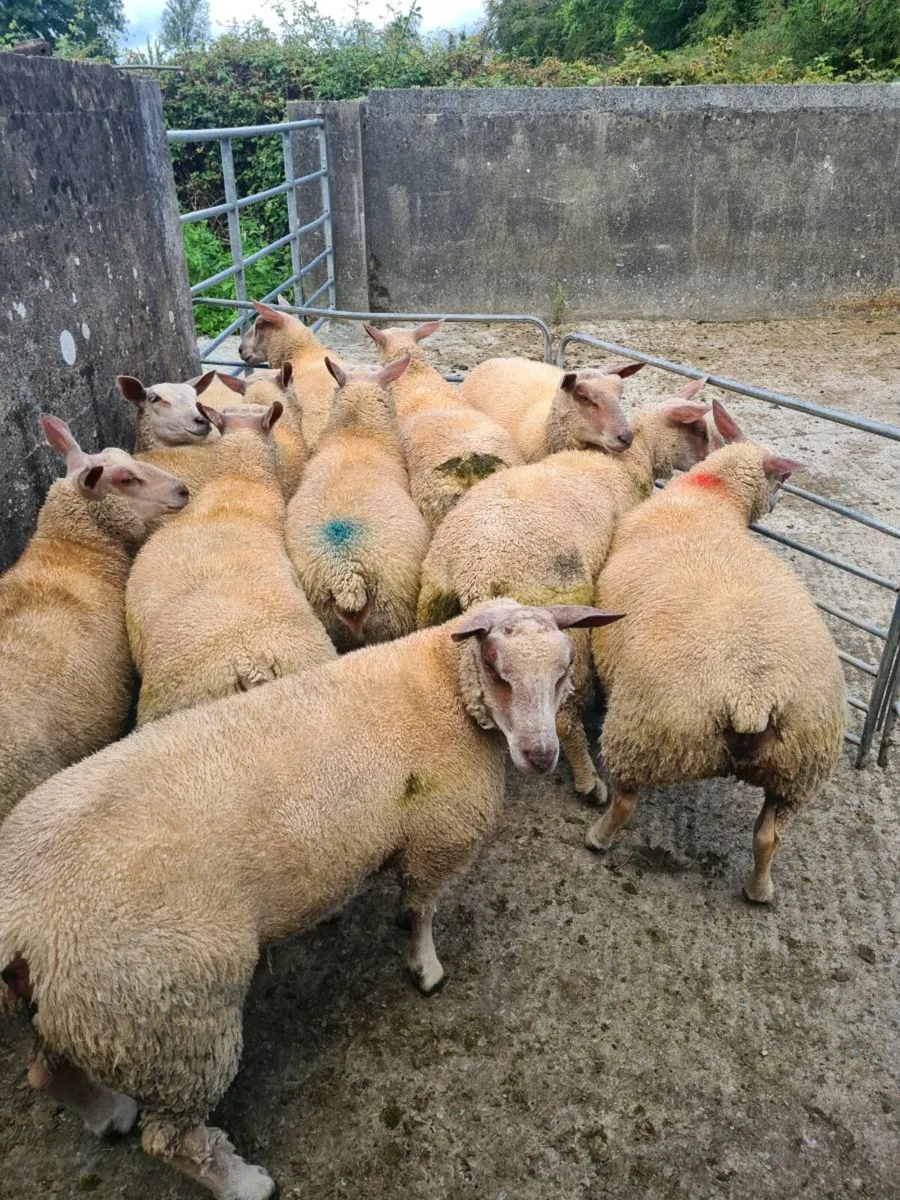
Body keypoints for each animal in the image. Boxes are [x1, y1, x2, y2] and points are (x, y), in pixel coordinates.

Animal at [0, 599, 621, 1200]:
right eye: (498, 671)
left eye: (564, 672)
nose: (541, 756)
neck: (444, 687)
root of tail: (21, 920)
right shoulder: (439, 835)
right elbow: (423, 909)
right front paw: (425, 968)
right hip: (169, 1016)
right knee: (173, 1139)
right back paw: (244, 1183)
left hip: (84, 1009)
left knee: (46, 1074)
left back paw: (108, 1115)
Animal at [418, 381, 731, 798]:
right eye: (698, 429)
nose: (716, 456)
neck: (633, 458)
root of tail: (472, 571)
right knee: (563, 716)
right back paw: (589, 781)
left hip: (433, 598)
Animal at [588, 401, 846, 903]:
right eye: (781, 481)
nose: (778, 503)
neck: (710, 498)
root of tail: (752, 699)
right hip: (798, 772)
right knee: (769, 836)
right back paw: (760, 891)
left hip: (646, 734)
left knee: (626, 803)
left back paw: (597, 838)